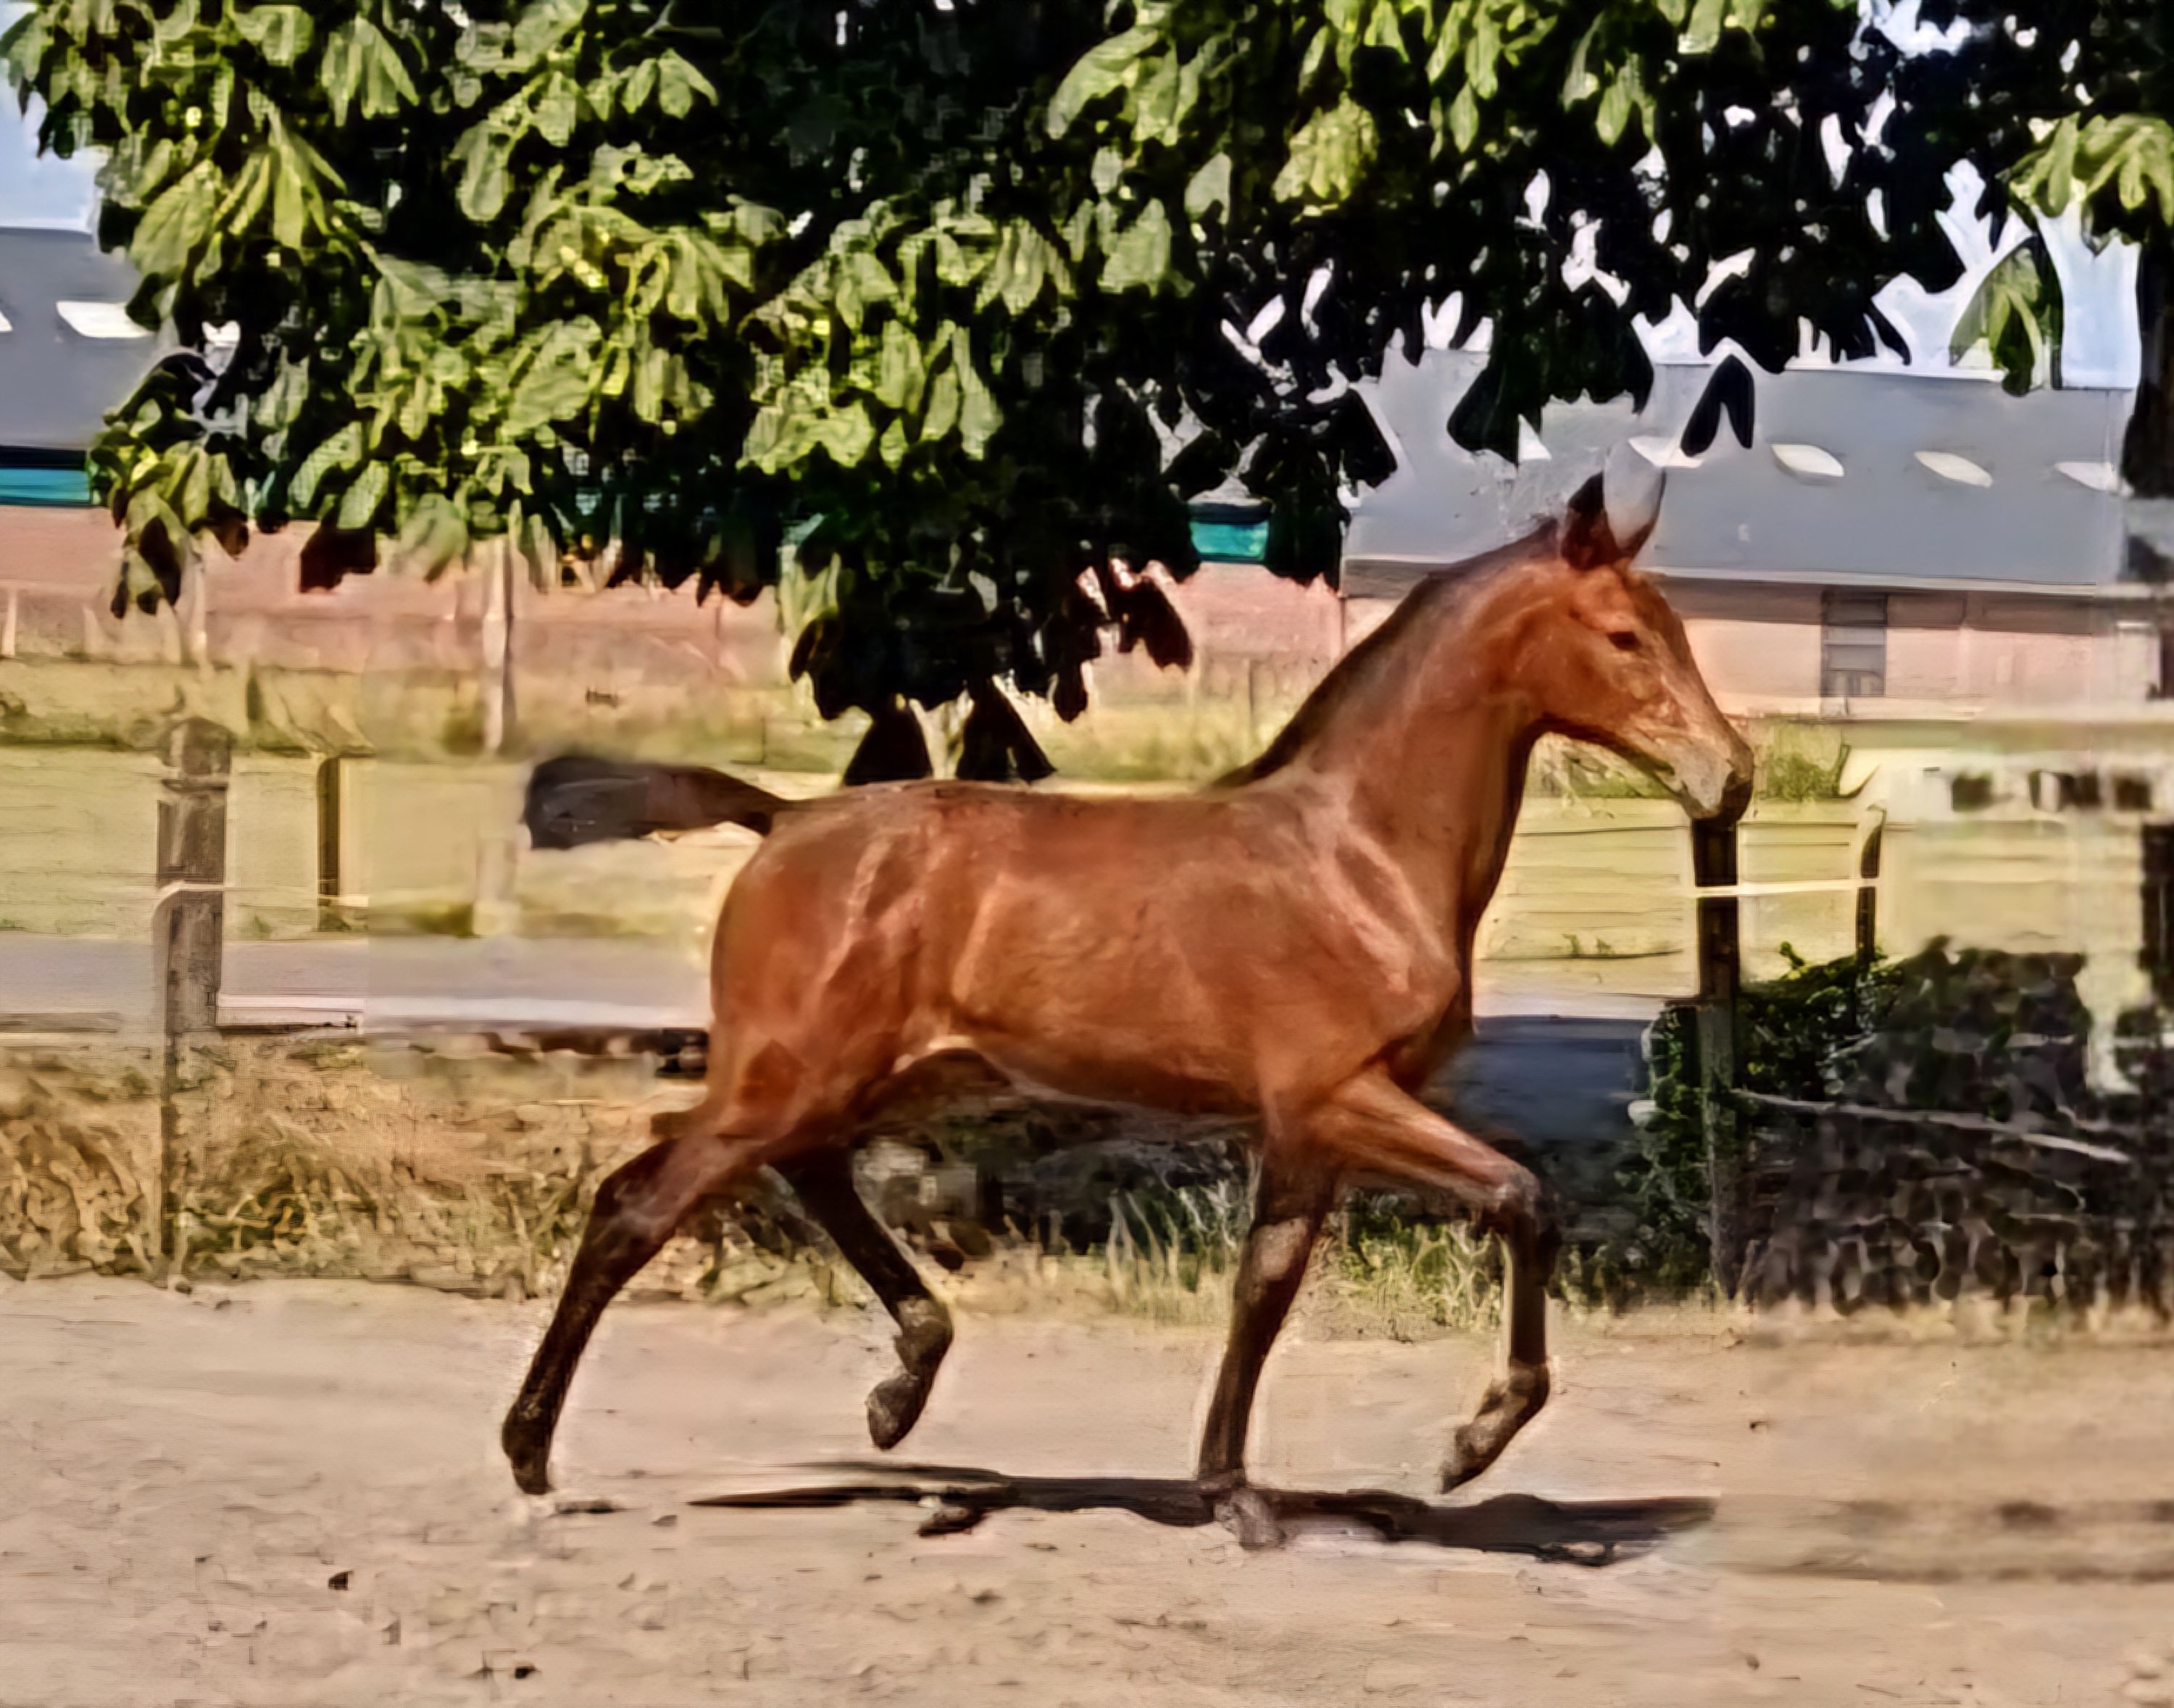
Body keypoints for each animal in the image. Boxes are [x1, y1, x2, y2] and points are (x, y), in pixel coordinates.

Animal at [502, 464, 1754, 1544]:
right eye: (1626, 636)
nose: (1731, 777)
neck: (1359, 857)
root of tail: (787, 819)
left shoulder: (1306, 1130)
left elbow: (1263, 1288)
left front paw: (1234, 1493)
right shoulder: (1342, 1097)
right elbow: (1521, 1199)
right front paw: (1470, 1445)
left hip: (881, 1077)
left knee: (804, 1176)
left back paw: (901, 1389)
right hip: (785, 1078)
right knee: (634, 1207)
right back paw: (532, 1456)